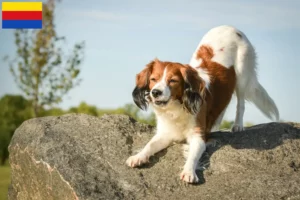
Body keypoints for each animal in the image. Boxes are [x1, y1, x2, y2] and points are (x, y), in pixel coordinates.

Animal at [124, 25, 278, 183]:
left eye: (173, 81)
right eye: (153, 79)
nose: (155, 92)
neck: (177, 107)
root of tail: (230, 27)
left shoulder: (198, 136)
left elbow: (193, 155)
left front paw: (189, 171)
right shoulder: (165, 133)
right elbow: (150, 145)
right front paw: (138, 157)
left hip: (242, 74)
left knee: (240, 103)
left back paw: (238, 125)